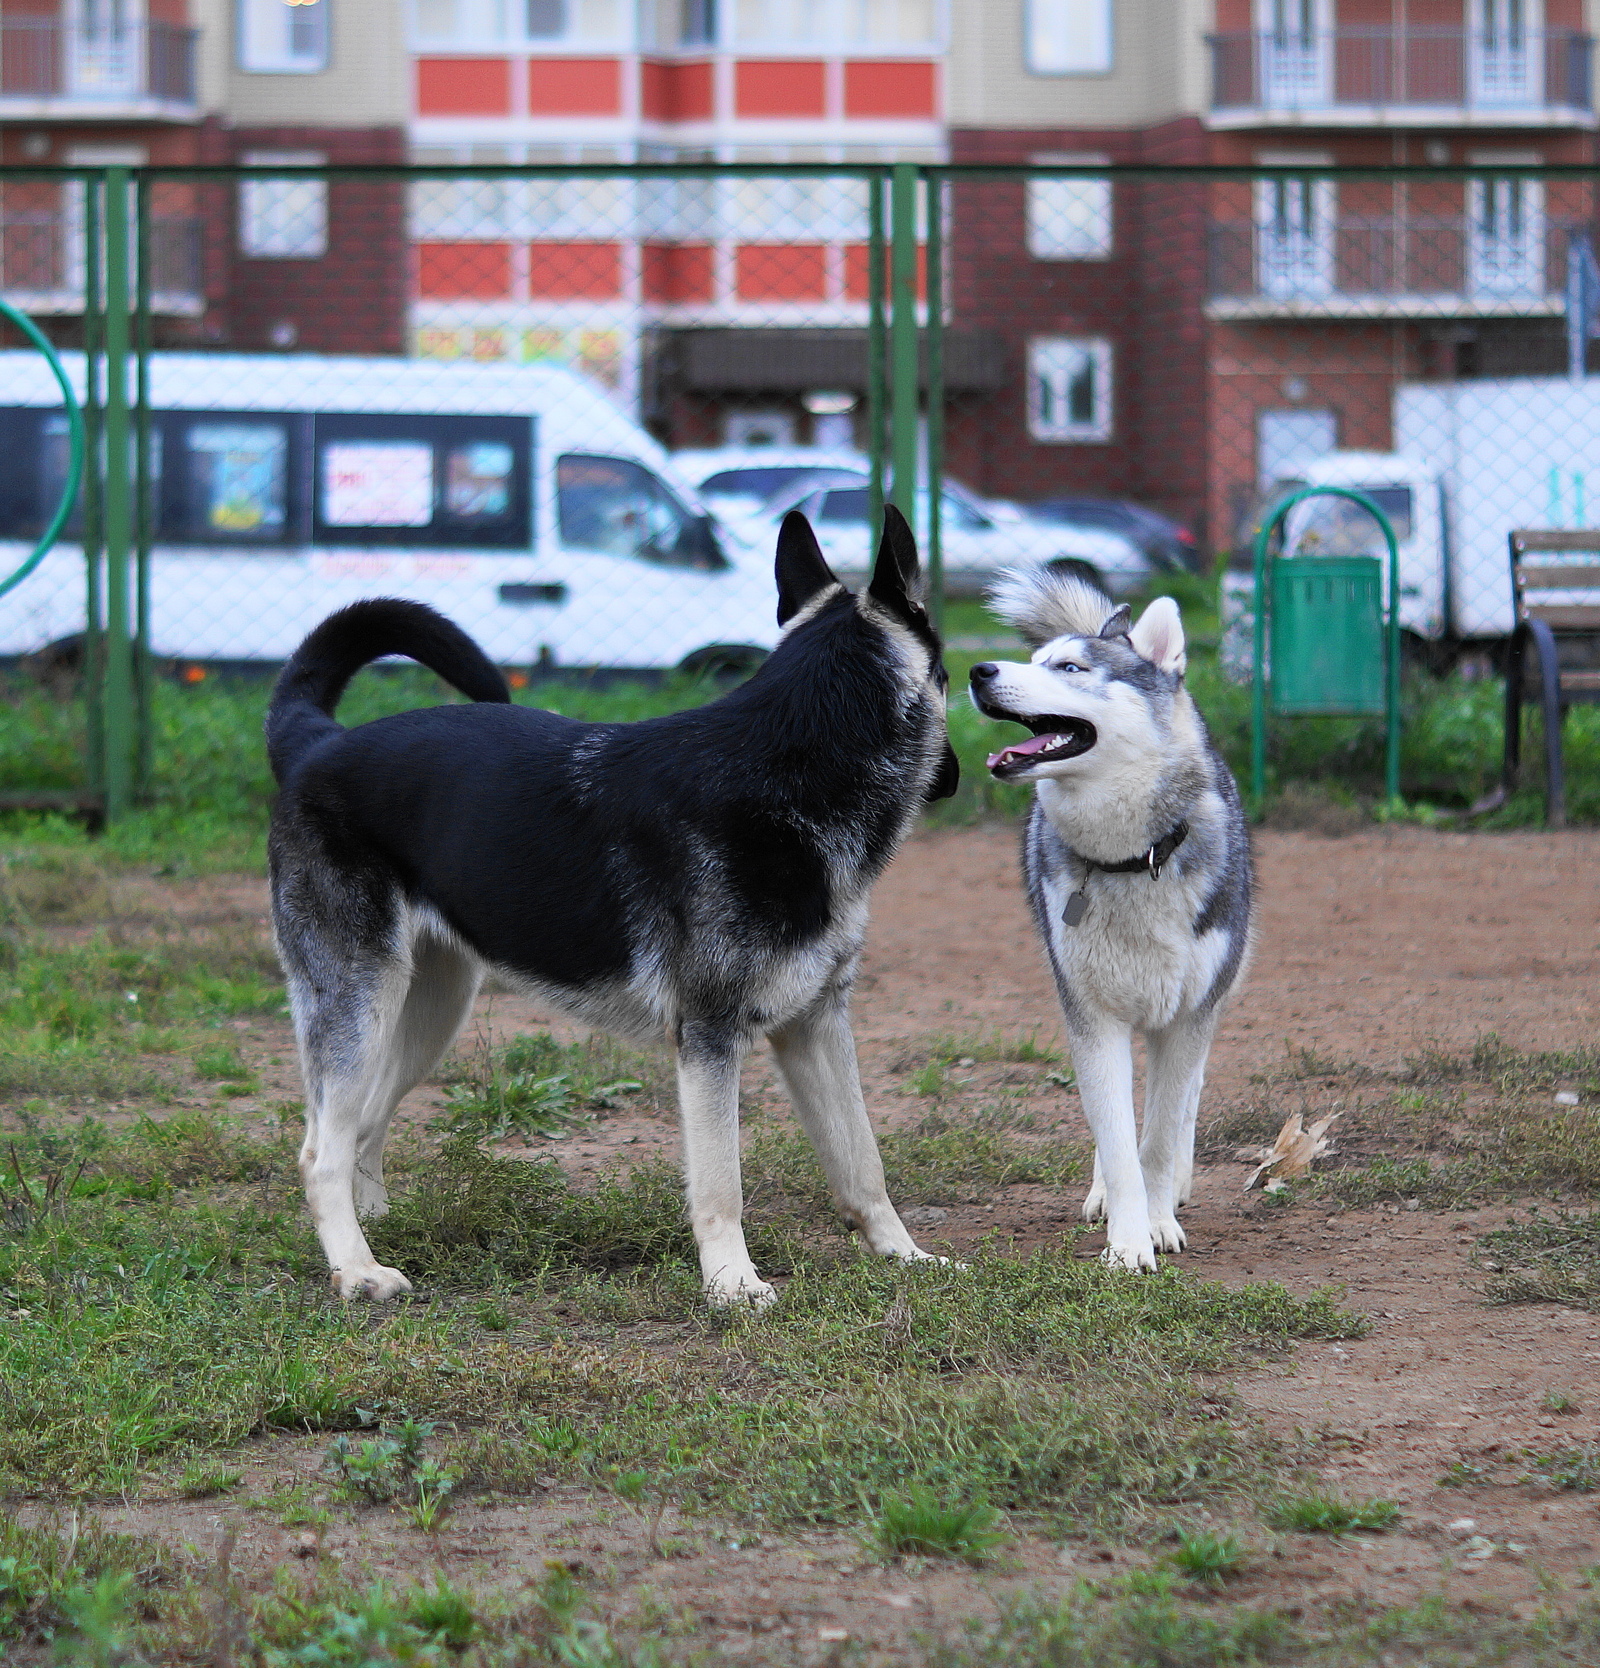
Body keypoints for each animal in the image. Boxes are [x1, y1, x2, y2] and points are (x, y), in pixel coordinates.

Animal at [266, 503, 954, 1301]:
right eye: (946, 674)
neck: (793, 768)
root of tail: (317, 744)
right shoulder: (710, 1039)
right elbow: (721, 1184)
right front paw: (732, 1284)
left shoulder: (816, 1026)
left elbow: (863, 1163)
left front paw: (904, 1256)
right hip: (362, 1006)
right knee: (320, 1152)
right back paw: (356, 1270)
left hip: (428, 1011)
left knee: (363, 1127)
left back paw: (378, 1230)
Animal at [967, 567, 1254, 1267]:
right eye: (1036, 660)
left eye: (1070, 667)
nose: (979, 671)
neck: (1131, 859)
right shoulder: (1093, 1016)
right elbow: (1120, 1141)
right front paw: (1127, 1243)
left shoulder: (1188, 1016)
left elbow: (1160, 1136)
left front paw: (1158, 1220)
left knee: (1183, 1104)